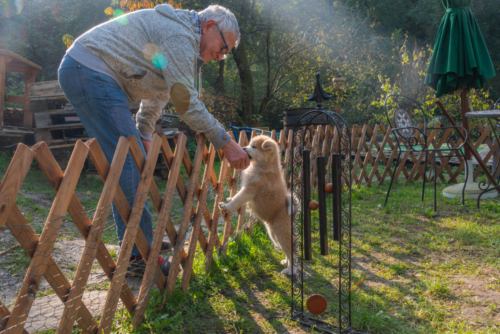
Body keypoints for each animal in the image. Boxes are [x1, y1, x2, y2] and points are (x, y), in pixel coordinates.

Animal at [218, 134, 292, 276]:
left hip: (281, 234)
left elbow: (237, 200)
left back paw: (291, 269)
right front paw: (229, 198)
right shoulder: (247, 187)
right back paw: (286, 262)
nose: (242, 148)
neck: (263, 166)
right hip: (274, 236)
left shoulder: (249, 190)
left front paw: (227, 206)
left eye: (253, 147)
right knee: (287, 251)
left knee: (293, 253)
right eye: (249, 144)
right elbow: (236, 196)